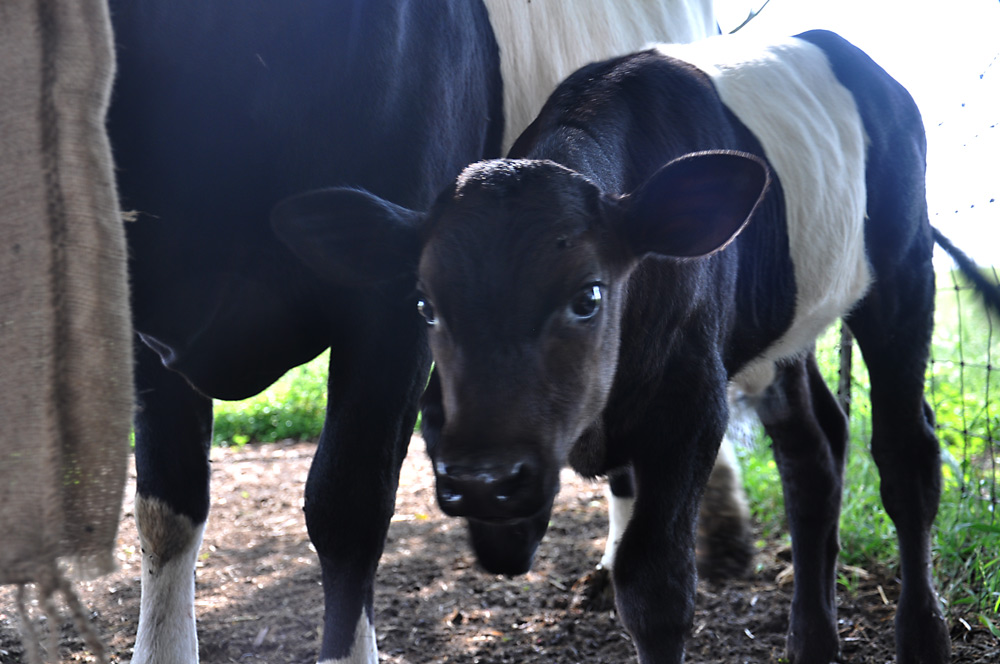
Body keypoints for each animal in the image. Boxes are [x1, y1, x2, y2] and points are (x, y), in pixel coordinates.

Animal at [270, 29, 999, 663]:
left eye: (588, 296)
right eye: (425, 306)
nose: (484, 478)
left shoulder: (690, 405)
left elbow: (655, 588)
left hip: (904, 266)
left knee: (907, 455)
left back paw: (923, 639)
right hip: (781, 332)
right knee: (813, 448)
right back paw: (812, 641)